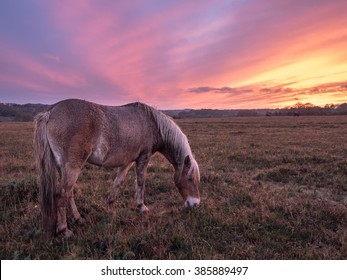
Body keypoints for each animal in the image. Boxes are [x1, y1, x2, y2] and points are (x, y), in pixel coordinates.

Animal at [34, 98, 201, 236]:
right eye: (189, 178)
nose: (195, 204)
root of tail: (51, 112)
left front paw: (110, 203)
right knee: (61, 194)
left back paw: (78, 219)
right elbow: (141, 182)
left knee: (68, 193)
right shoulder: (144, 157)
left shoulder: (127, 162)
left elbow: (118, 182)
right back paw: (64, 229)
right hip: (72, 167)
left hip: (62, 168)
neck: (152, 123)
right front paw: (141, 206)